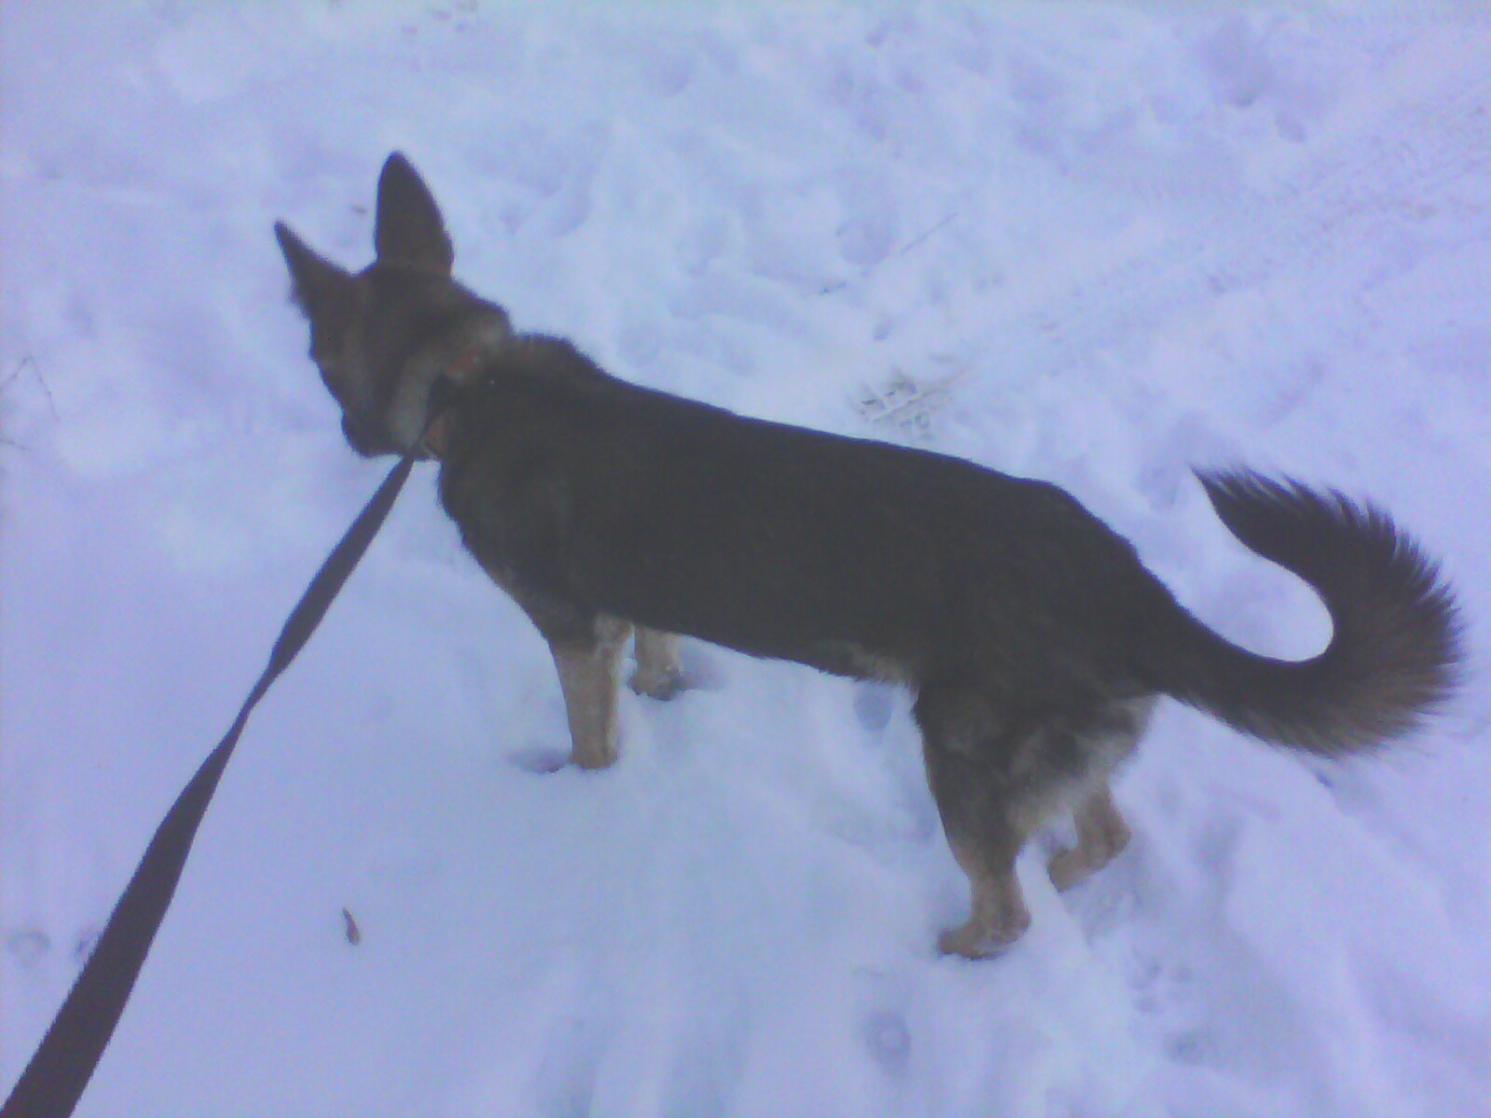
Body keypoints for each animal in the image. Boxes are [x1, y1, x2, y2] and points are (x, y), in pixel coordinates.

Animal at [274, 153, 1461, 958]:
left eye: (315, 360)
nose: (341, 438)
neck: (463, 377)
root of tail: (1130, 588)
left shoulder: (571, 630)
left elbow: (591, 732)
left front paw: (583, 788)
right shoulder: (634, 602)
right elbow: (657, 649)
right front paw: (664, 692)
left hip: (959, 756)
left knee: (1006, 899)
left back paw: (963, 948)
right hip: (1056, 752)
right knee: (1096, 834)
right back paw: (1065, 870)